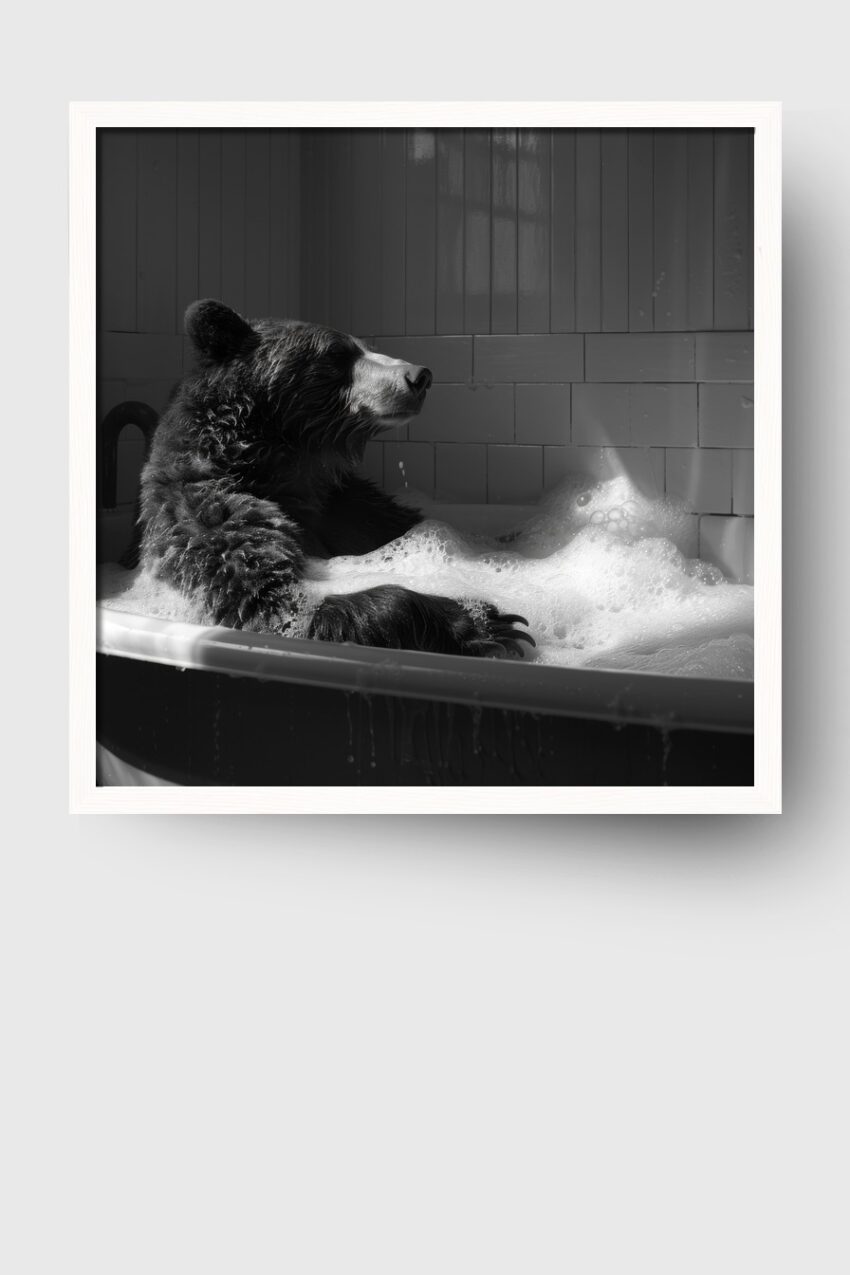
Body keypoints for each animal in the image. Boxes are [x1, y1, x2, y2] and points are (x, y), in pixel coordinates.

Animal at [135, 300, 534, 659]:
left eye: (364, 345)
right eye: (338, 352)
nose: (419, 376)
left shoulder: (348, 506)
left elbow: (410, 526)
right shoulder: (210, 517)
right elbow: (277, 605)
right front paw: (479, 620)